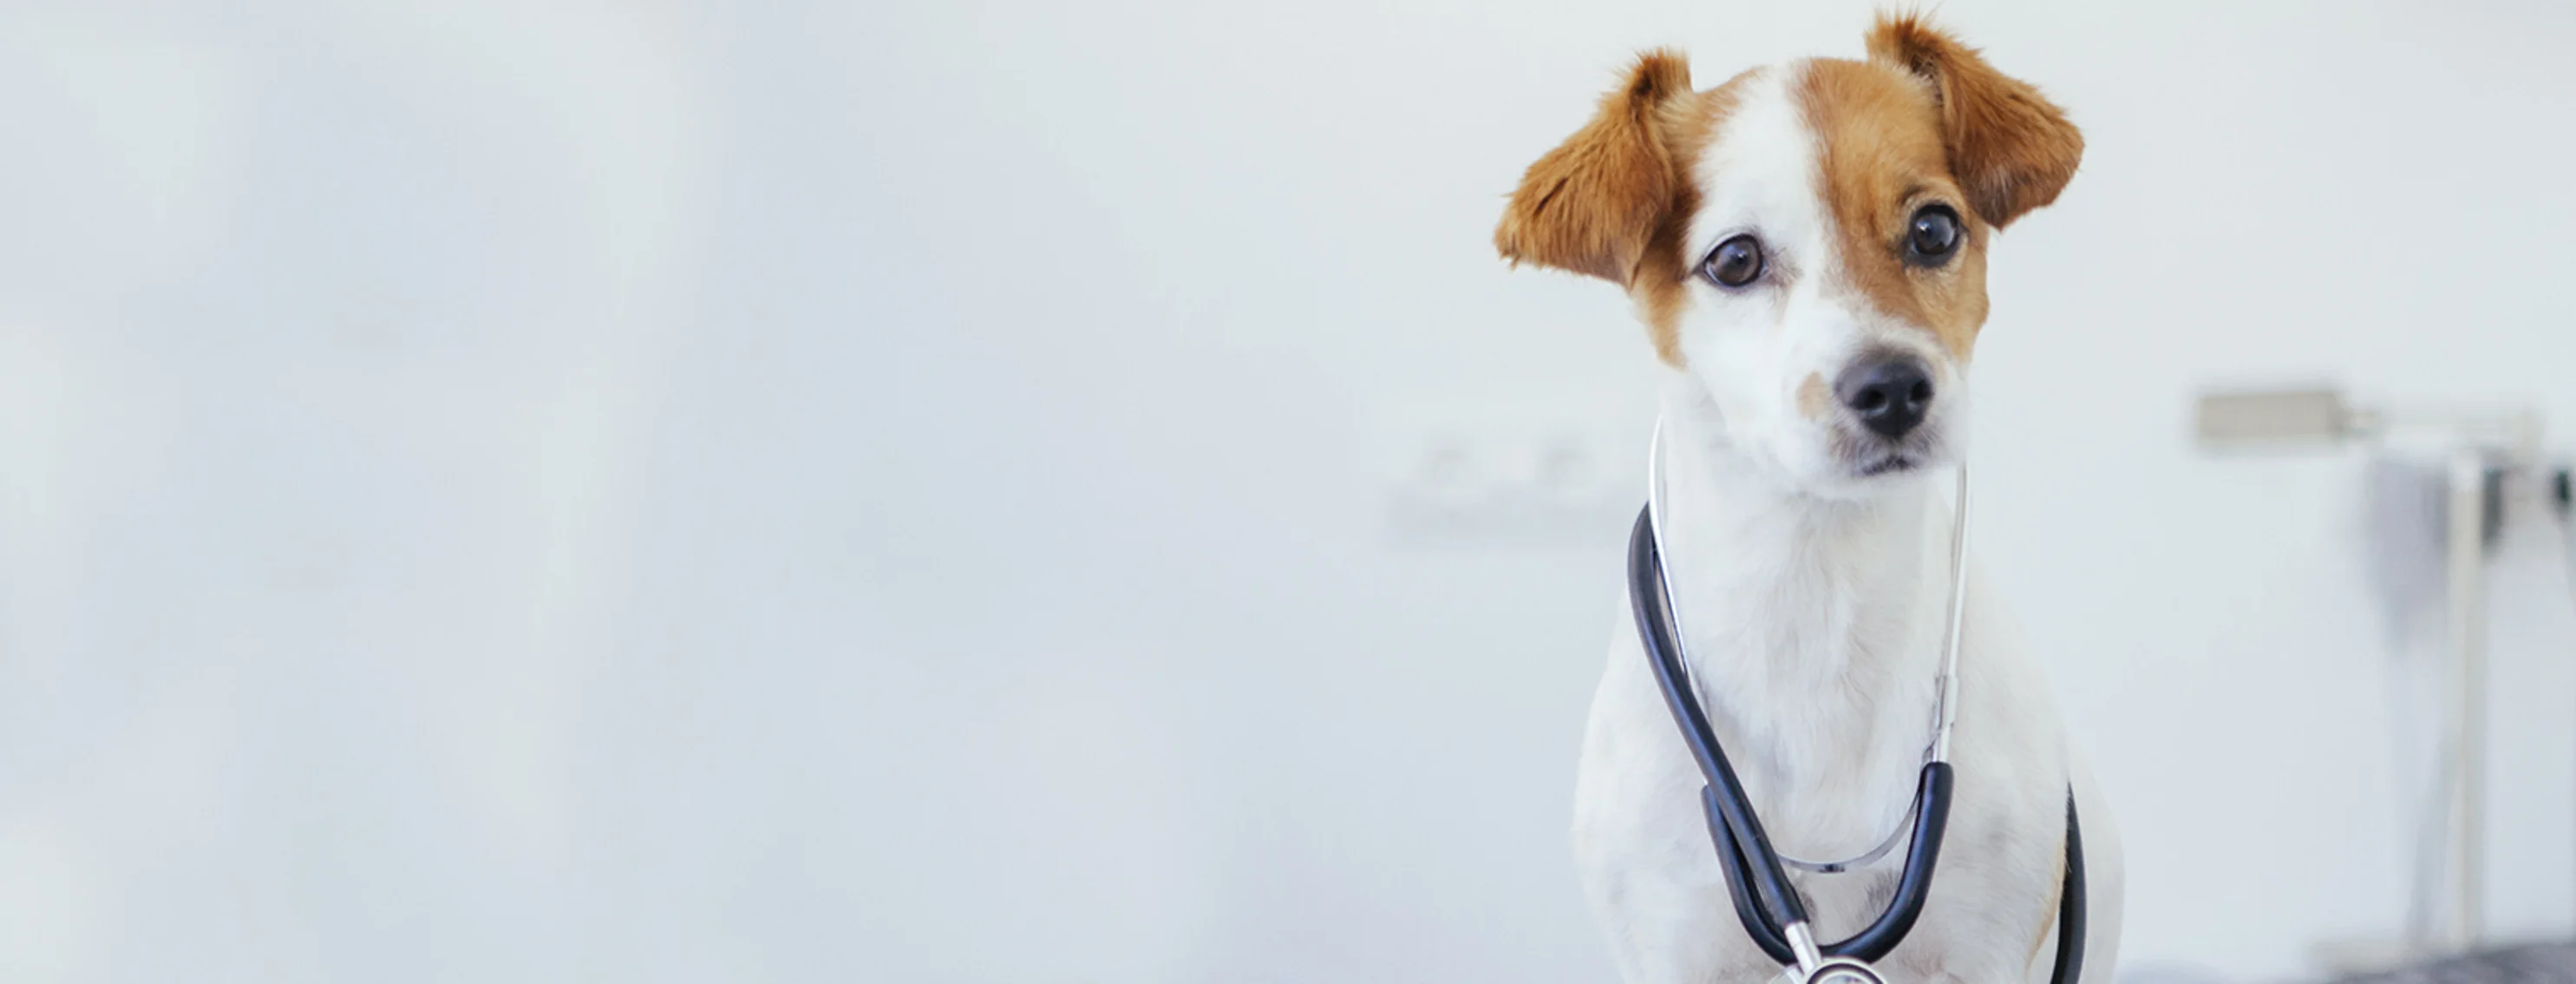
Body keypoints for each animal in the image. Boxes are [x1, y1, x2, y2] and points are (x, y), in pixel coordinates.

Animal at [1504, 15, 2122, 984]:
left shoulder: (1987, 938)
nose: (1893, 387)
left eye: (1934, 228)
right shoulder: (1672, 943)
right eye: (1736, 259)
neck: (1817, 576)